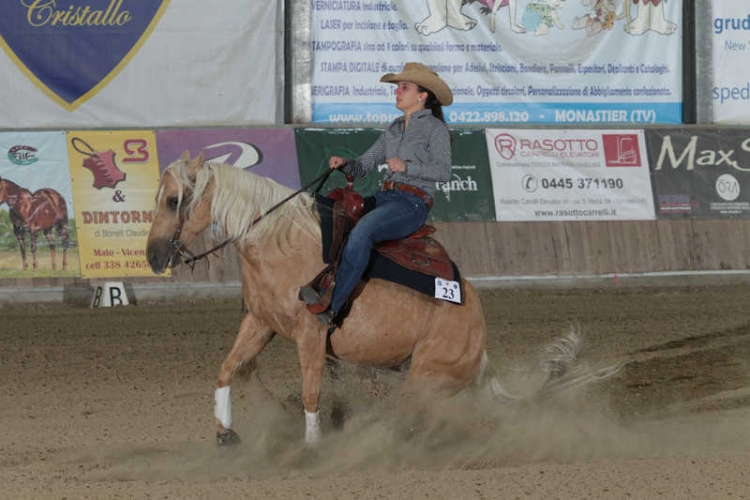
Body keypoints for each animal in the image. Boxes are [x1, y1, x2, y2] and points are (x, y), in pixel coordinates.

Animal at [147, 153, 624, 446]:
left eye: (173, 200)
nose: (152, 257)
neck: (279, 242)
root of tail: (479, 336)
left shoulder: (310, 335)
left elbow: (311, 394)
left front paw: (311, 448)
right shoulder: (260, 324)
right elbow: (228, 369)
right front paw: (225, 434)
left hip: (426, 377)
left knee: (414, 420)